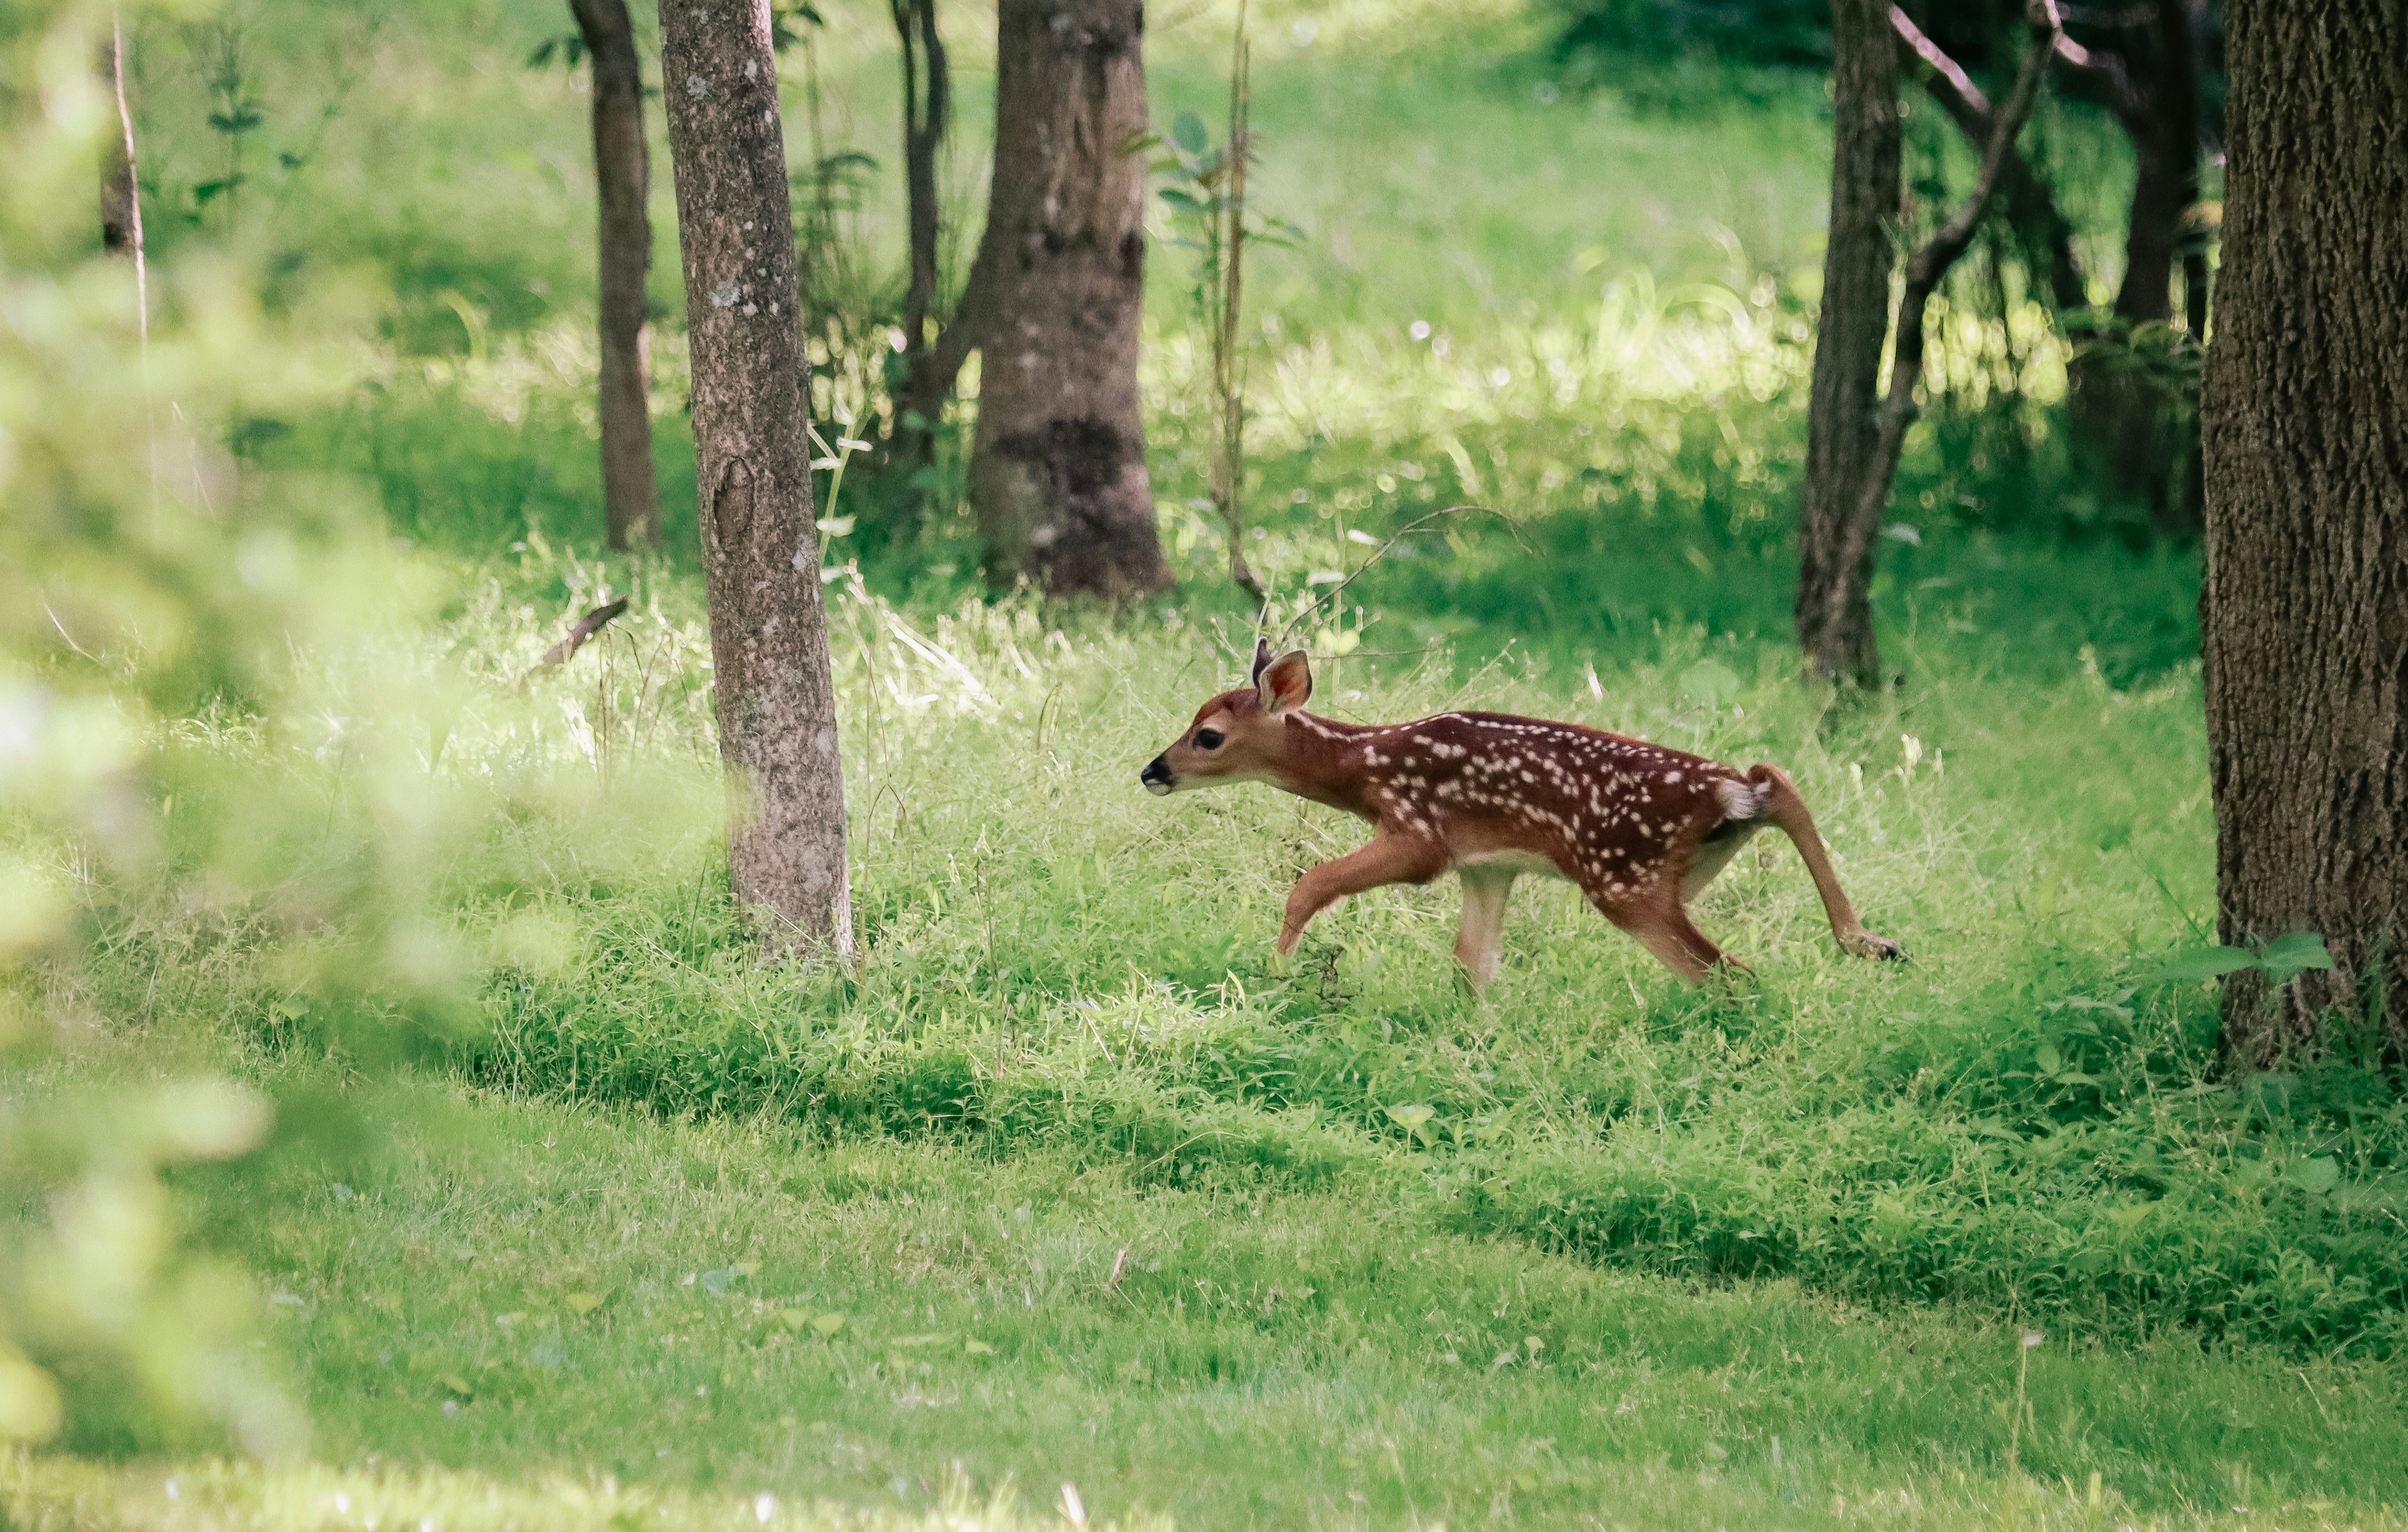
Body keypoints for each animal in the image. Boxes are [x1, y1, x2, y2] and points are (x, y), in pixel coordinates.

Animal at [1139, 641, 1902, 990]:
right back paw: (1871, 940)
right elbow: (1473, 966)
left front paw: (1273, 974)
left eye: (1208, 736)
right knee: (1776, 781)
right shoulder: (1487, 866)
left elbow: (1311, 883)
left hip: (1623, 876)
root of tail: (1723, 794)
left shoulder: (1421, 835)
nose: (1153, 771)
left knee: (1727, 972)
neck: (1368, 764)